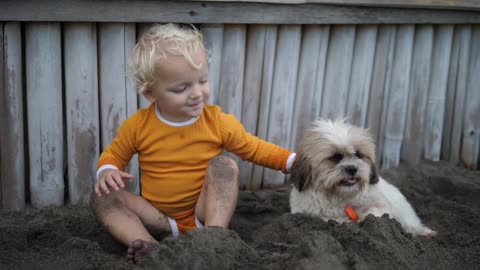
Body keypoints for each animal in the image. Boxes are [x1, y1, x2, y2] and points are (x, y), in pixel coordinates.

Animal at [290, 118, 436, 236]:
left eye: (358, 154)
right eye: (335, 157)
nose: (352, 168)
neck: (340, 196)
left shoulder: (380, 205)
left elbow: (375, 212)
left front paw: (364, 219)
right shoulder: (307, 213)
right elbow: (328, 218)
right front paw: (344, 221)